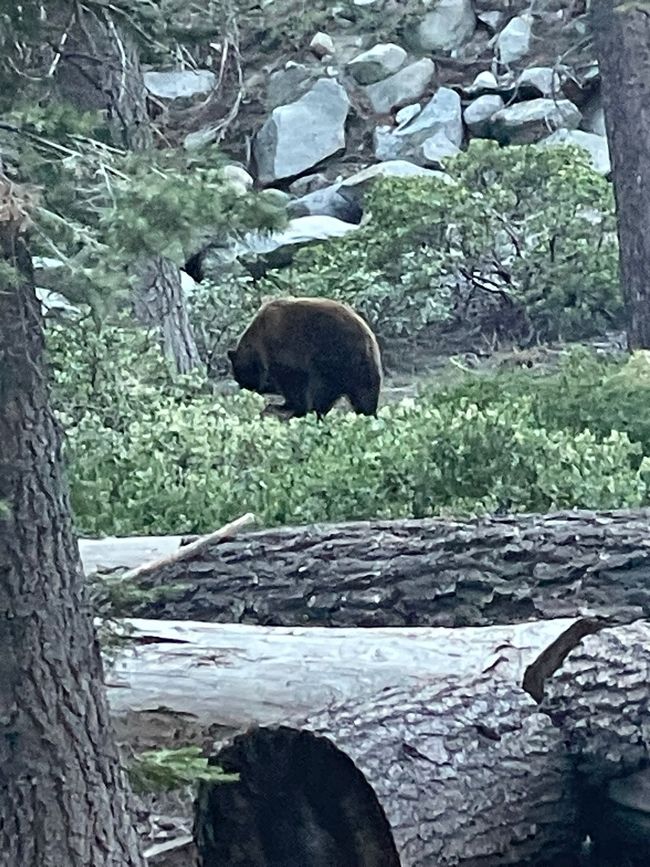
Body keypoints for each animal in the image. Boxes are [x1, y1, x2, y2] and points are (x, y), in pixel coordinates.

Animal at [227, 297, 382, 419]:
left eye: (239, 376)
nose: (245, 389)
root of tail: (367, 337)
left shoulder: (285, 349)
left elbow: (293, 383)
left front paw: (287, 406)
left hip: (334, 358)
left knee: (324, 391)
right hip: (362, 368)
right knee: (364, 395)